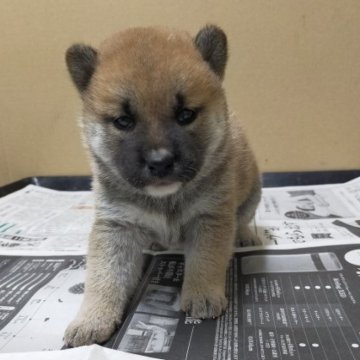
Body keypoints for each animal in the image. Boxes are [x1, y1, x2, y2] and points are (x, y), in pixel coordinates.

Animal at [64, 24, 262, 346]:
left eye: (186, 115)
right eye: (123, 121)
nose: (160, 161)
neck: (165, 199)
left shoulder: (210, 218)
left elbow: (205, 261)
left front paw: (202, 295)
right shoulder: (116, 227)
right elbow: (104, 276)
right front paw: (92, 318)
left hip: (252, 195)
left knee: (243, 219)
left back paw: (245, 236)